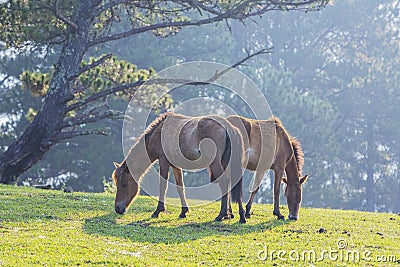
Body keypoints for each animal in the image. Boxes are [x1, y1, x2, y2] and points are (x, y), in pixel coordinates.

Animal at [111, 113, 245, 224]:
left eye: (124, 184)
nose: (118, 208)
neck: (158, 132)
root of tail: (227, 127)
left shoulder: (164, 162)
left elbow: (163, 186)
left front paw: (158, 211)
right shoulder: (175, 166)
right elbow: (180, 188)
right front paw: (183, 212)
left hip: (216, 163)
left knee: (224, 183)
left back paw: (221, 215)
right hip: (225, 163)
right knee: (230, 184)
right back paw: (236, 215)